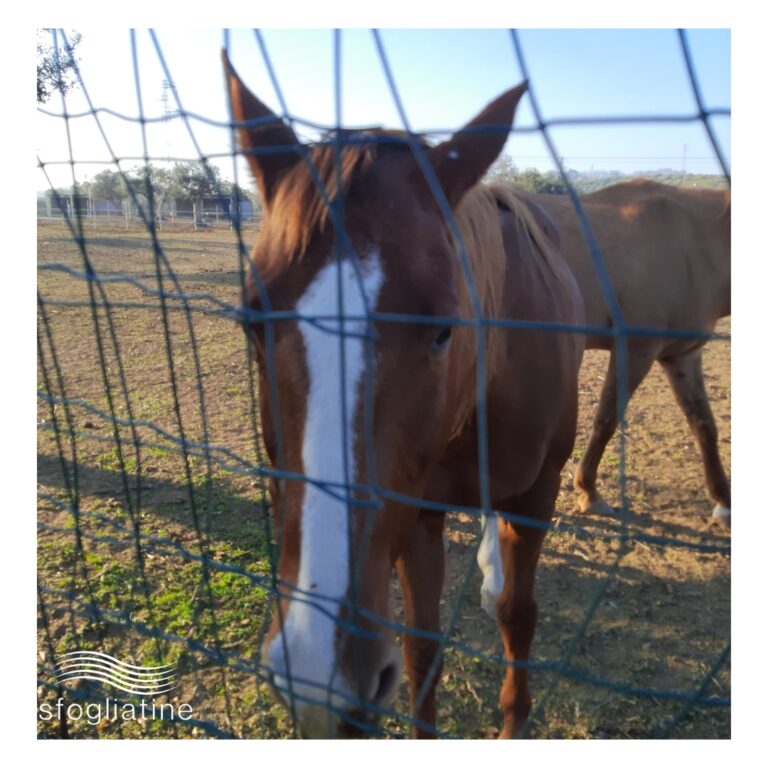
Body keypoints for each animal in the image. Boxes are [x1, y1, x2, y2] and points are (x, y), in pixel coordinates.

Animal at [225, 54, 584, 736]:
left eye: (444, 329)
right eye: (252, 320)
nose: (315, 671)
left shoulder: (536, 498)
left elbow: (519, 616)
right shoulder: (418, 517)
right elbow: (422, 650)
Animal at [532, 180, 728, 524]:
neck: (694, 240)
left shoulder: (682, 356)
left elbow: (704, 424)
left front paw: (724, 501)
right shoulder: (636, 350)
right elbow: (606, 419)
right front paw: (590, 493)